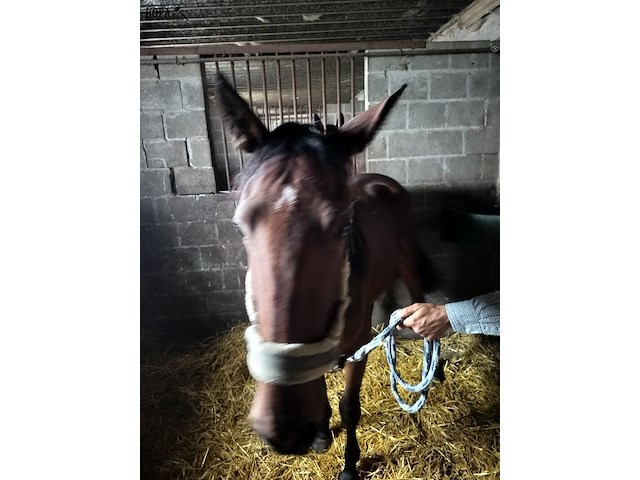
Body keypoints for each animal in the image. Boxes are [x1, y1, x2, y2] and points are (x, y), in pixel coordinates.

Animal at [214, 73, 438, 480]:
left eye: (341, 225)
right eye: (241, 224)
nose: (284, 430)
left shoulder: (357, 346)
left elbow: (350, 406)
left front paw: (349, 465)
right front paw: (320, 432)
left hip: (408, 263)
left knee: (419, 303)